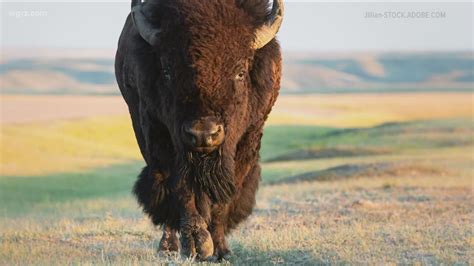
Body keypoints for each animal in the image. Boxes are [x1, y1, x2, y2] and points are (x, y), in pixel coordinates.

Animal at [114, 0, 284, 262]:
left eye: (240, 71)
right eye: (167, 72)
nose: (203, 133)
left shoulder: (246, 141)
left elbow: (224, 196)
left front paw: (221, 249)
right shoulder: (163, 137)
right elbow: (180, 189)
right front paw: (198, 244)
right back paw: (168, 246)